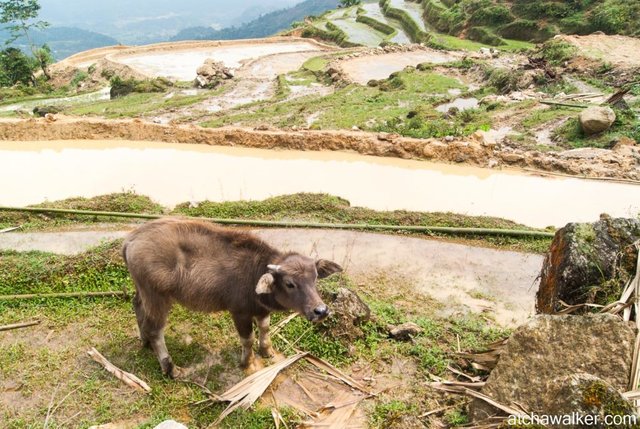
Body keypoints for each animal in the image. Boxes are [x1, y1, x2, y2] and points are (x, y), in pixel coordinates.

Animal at [120, 219, 340, 376]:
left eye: (315, 277)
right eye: (290, 283)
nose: (321, 311)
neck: (254, 272)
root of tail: (131, 240)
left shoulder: (261, 310)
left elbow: (265, 329)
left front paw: (267, 351)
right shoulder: (239, 312)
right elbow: (247, 339)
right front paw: (246, 363)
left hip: (142, 290)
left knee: (137, 306)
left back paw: (145, 342)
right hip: (158, 297)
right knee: (156, 330)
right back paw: (171, 368)